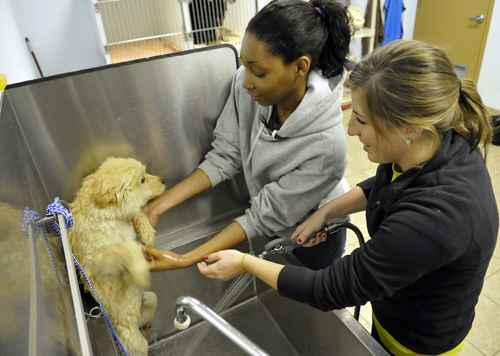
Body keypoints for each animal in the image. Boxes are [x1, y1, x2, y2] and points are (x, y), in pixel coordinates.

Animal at [68, 159, 165, 356]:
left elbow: (139, 214)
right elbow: (127, 248)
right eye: (142, 180)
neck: (106, 215)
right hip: (133, 342)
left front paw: (147, 234)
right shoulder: (98, 261)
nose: (163, 180)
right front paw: (140, 272)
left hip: (150, 299)